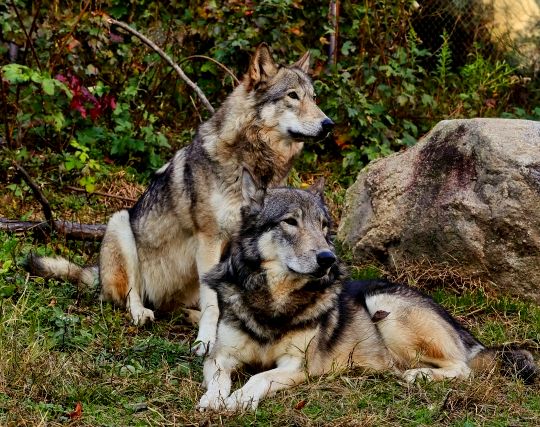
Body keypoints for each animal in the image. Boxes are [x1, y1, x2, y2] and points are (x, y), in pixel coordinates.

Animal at [26, 43, 334, 356]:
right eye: (292, 96)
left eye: (313, 98)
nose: (328, 124)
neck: (255, 165)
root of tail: (97, 274)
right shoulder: (209, 238)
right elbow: (213, 302)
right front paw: (206, 340)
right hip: (120, 223)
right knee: (130, 295)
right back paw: (142, 313)